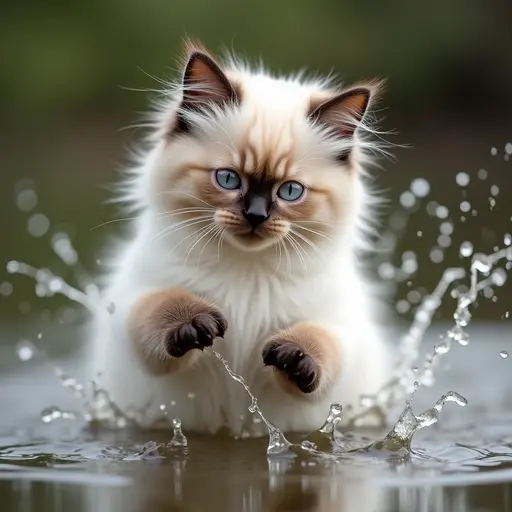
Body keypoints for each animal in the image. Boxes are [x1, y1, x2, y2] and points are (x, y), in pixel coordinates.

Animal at [88, 40, 392, 434]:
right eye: (228, 179)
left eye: (290, 191)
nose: (256, 216)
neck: (247, 267)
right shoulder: (135, 301)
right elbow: (160, 308)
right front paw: (195, 324)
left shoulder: (338, 327)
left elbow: (318, 344)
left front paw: (293, 357)